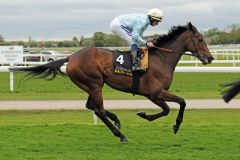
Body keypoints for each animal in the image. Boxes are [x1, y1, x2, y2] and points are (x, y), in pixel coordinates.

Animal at [10, 22, 214, 142]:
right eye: (200, 39)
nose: (210, 58)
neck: (161, 59)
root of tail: (71, 56)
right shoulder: (154, 94)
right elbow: (176, 105)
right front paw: (169, 123)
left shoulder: (155, 95)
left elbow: (172, 107)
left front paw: (150, 117)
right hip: (94, 84)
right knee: (98, 110)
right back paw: (120, 135)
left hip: (91, 85)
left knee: (91, 106)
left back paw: (116, 120)